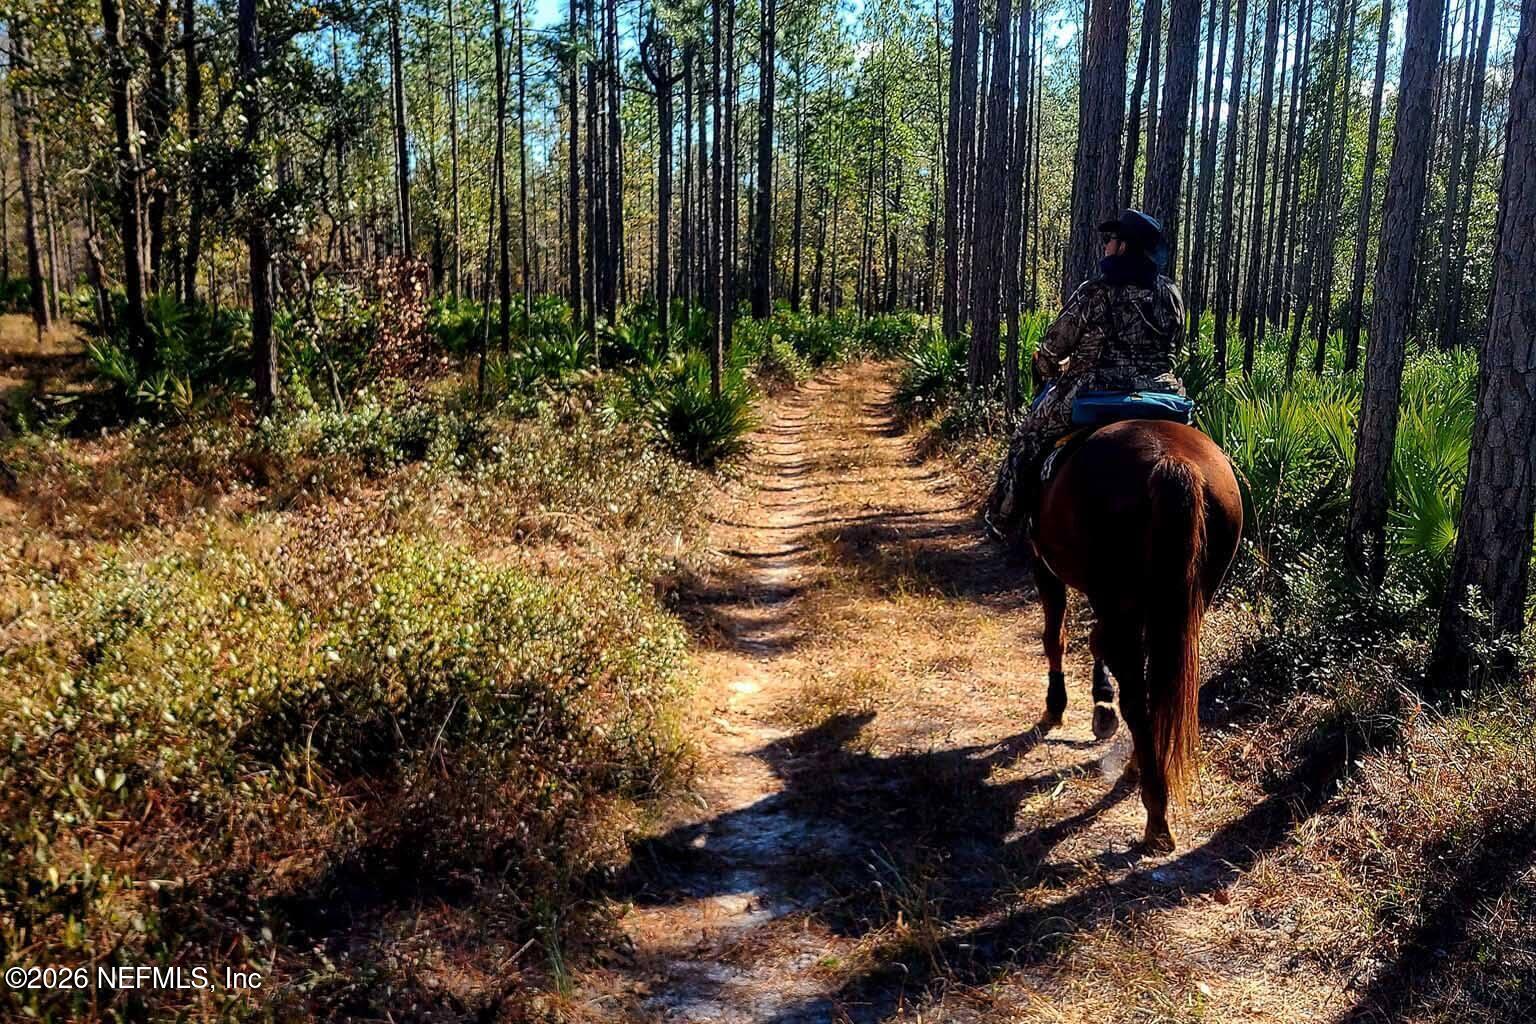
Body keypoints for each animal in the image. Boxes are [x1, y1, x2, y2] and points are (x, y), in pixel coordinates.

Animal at [1024, 419, 1243, 853]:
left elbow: (1056, 637)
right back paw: (1141, 773)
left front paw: (1057, 706)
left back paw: (1155, 816)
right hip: (1189, 597)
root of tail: (1171, 461)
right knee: (1157, 688)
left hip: (1115, 592)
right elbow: (1095, 642)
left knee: (1136, 697)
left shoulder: (1045, 566)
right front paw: (1100, 704)